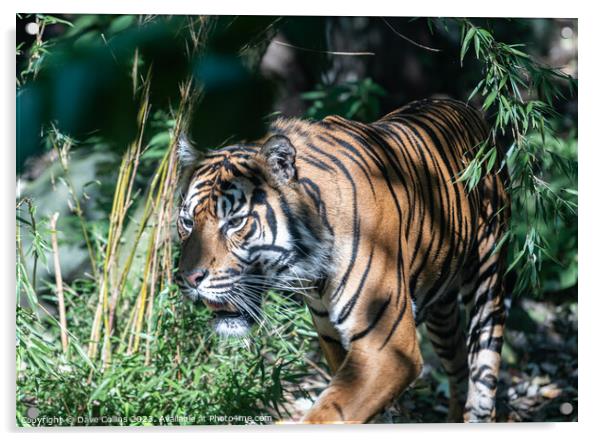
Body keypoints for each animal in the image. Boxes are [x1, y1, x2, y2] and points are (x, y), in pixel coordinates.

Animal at [176, 98, 508, 422]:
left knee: (482, 377)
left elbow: (329, 414)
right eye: (188, 222)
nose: (189, 279)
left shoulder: (388, 346)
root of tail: (466, 106)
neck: (310, 269)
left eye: (234, 222)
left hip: (487, 279)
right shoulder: (333, 339)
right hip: (442, 309)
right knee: (458, 370)